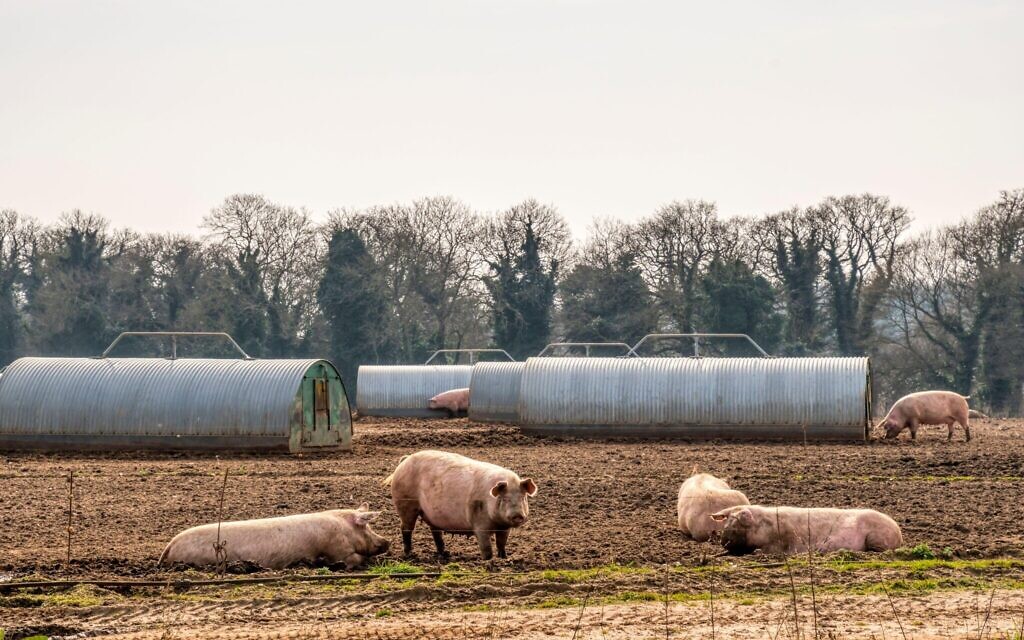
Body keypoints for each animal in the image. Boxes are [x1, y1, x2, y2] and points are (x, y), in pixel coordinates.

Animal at [158, 504, 389, 570]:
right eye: (367, 527)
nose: (387, 541)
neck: (345, 528)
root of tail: (169, 545)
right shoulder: (338, 550)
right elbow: (354, 559)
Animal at [383, 450, 537, 560]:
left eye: (523, 498)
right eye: (504, 499)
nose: (517, 515)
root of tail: (405, 460)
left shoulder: (505, 528)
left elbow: (501, 543)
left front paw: (504, 558)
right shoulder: (479, 524)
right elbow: (486, 547)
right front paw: (489, 561)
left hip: (431, 514)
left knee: (435, 532)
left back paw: (445, 554)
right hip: (405, 504)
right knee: (406, 529)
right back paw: (409, 554)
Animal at [710, 505, 903, 555]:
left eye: (736, 525)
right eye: (726, 523)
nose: (723, 540)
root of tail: (899, 532)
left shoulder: (784, 542)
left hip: (876, 537)